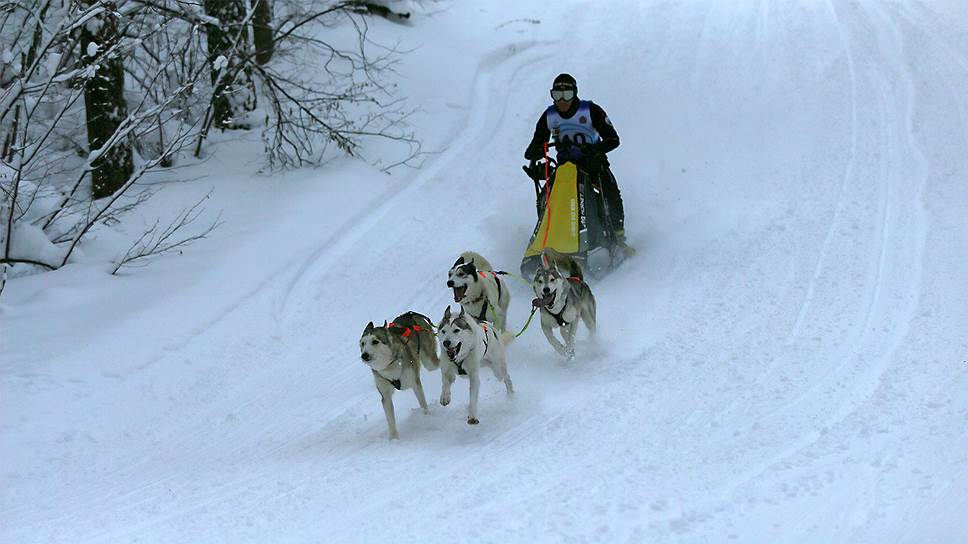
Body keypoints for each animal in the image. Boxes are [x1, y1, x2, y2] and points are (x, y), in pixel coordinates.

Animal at [362, 312, 440, 440]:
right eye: (362, 344)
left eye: (375, 341)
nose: (364, 355)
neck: (389, 366)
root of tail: (410, 314)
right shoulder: (385, 396)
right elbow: (390, 419)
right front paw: (394, 439)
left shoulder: (415, 382)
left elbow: (423, 403)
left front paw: (427, 417)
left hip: (430, 362)